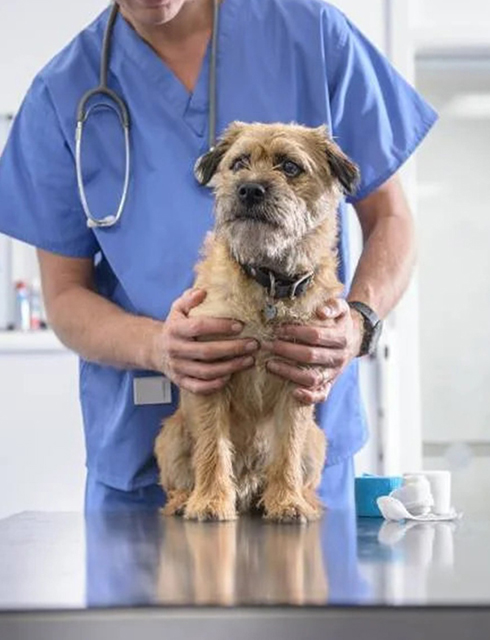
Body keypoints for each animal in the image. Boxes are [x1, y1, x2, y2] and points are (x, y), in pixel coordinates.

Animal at [155, 122, 358, 524]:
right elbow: (212, 448)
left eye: (290, 166)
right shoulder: (210, 374)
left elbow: (287, 450)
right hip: (170, 435)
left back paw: (301, 499)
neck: (269, 282)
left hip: (317, 441)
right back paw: (185, 500)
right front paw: (211, 501)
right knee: (177, 482)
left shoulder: (299, 380)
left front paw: (287, 501)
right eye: (239, 163)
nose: (249, 189)